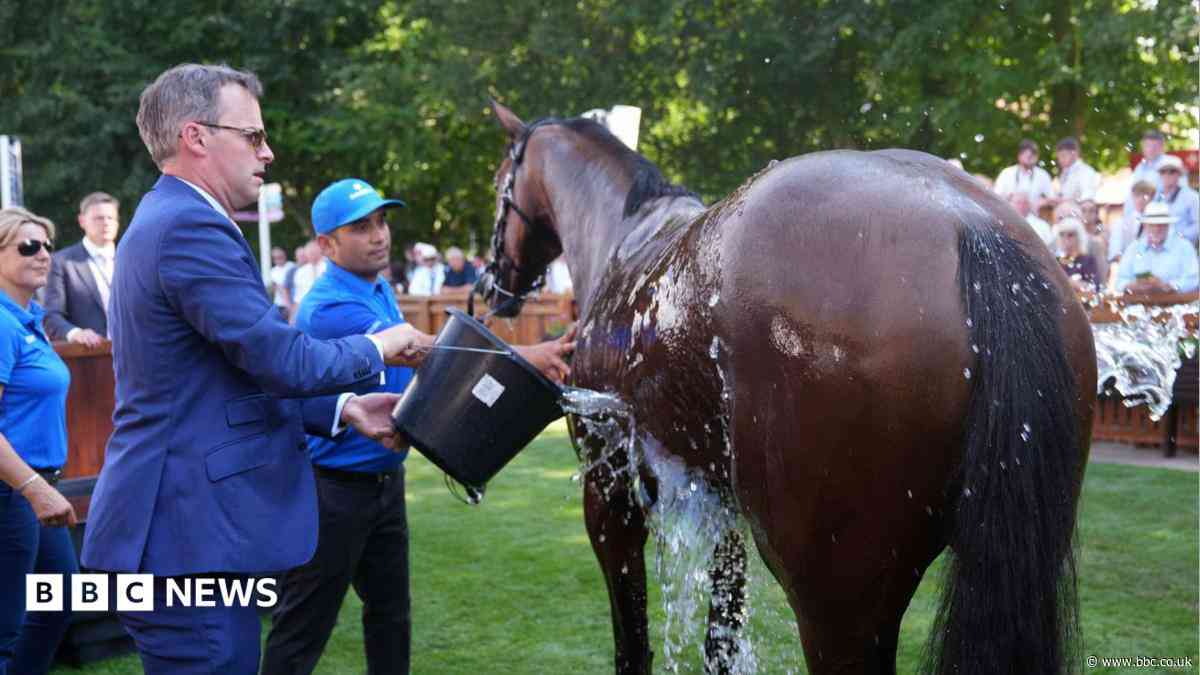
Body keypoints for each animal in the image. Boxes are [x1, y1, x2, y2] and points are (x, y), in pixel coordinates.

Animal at [477, 100, 1096, 675]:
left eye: (499, 181)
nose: (490, 285)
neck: (629, 240)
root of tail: (967, 222)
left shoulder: (609, 494)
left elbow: (632, 645)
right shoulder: (720, 506)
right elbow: (719, 642)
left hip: (834, 599)